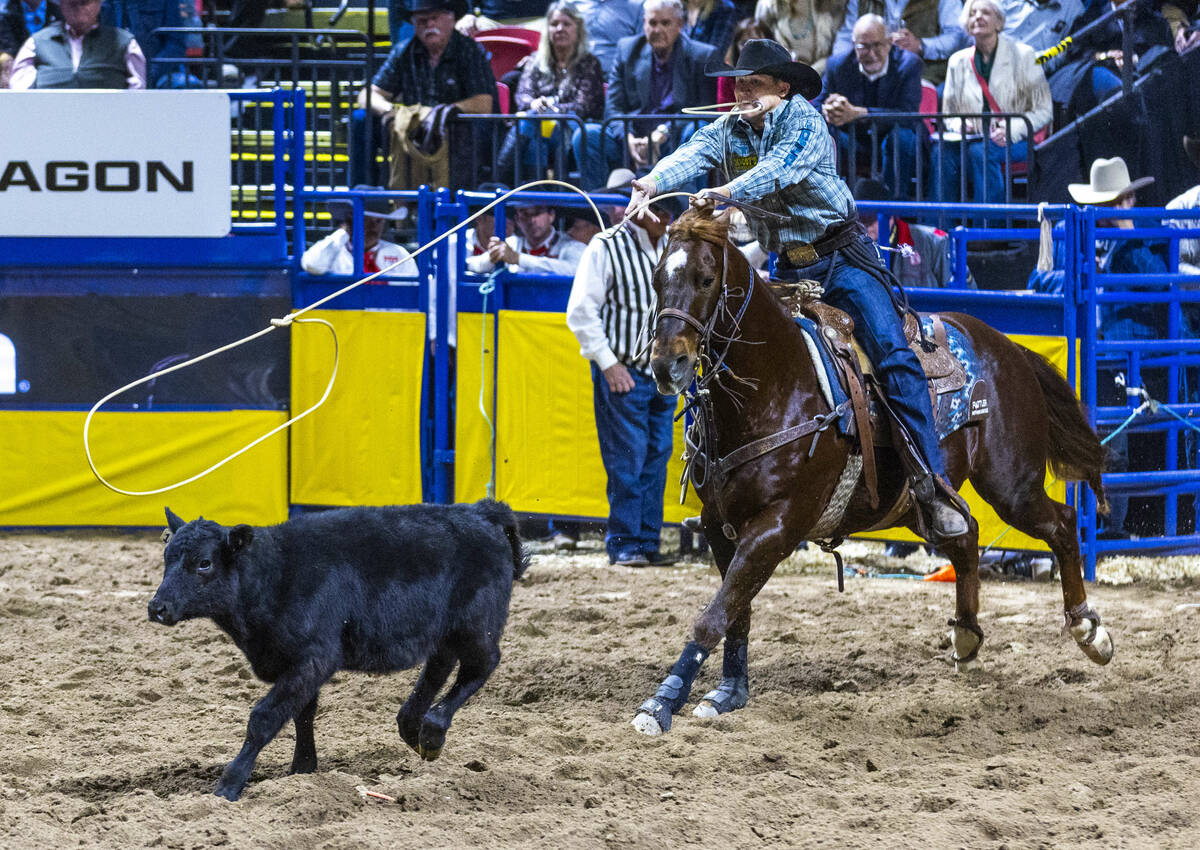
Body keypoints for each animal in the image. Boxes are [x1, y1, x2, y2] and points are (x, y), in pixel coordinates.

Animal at [148, 500, 528, 801]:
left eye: (204, 563)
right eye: (167, 557)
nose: (157, 607)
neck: (276, 574)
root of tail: (481, 511)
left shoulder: (314, 658)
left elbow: (264, 718)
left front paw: (230, 783)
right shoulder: (295, 665)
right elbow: (303, 713)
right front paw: (302, 769)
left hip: (477, 623)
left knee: (481, 665)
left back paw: (432, 730)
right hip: (445, 627)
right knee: (439, 665)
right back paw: (412, 727)